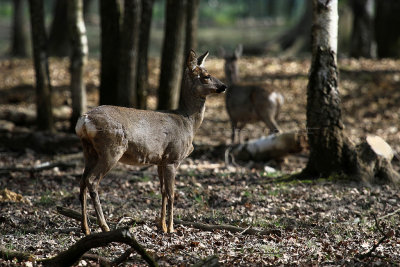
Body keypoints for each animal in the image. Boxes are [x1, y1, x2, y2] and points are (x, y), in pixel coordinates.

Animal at [75, 50, 225, 234]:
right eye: (206, 76)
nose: (224, 86)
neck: (188, 122)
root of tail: (85, 119)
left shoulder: (161, 160)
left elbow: (163, 192)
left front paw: (162, 226)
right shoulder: (173, 158)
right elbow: (172, 194)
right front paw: (171, 228)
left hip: (89, 151)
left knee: (82, 182)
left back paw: (86, 228)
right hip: (111, 149)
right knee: (92, 181)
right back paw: (104, 226)